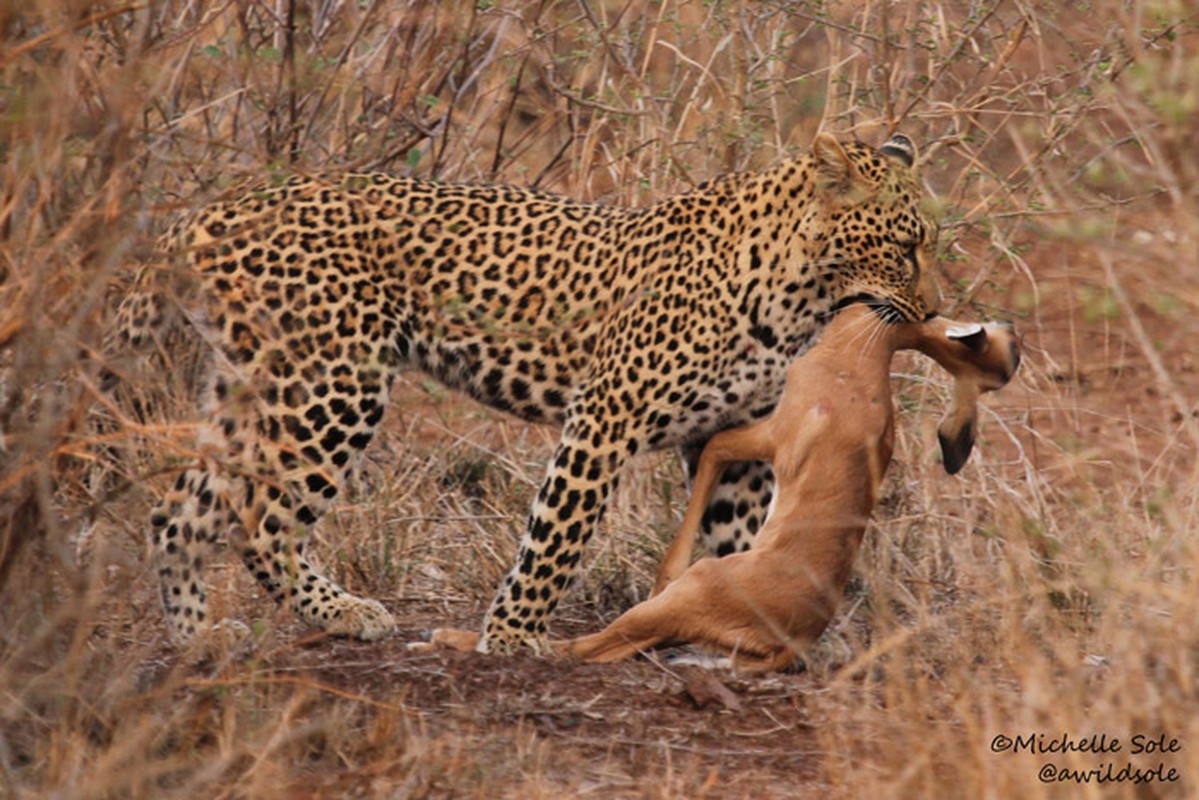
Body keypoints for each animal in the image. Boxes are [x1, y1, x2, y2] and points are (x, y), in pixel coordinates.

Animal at [119, 131, 944, 652]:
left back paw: (197, 636)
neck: (798, 294)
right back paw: (348, 613)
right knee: (260, 516)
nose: (932, 311)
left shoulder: (734, 439)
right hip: (332, 384)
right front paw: (512, 636)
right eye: (904, 247)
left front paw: (733, 615)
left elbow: (734, 536)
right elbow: (557, 533)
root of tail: (208, 213)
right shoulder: (605, 414)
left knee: (179, 508)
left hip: (252, 388)